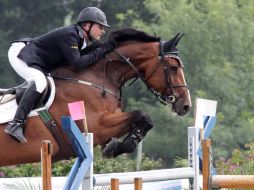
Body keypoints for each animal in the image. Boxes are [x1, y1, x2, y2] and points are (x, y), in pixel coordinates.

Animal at [0, 28, 190, 166]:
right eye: (173, 67)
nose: (186, 106)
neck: (95, 77)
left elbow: (144, 120)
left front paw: (116, 146)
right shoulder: (97, 127)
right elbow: (141, 115)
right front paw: (119, 146)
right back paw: (15, 129)